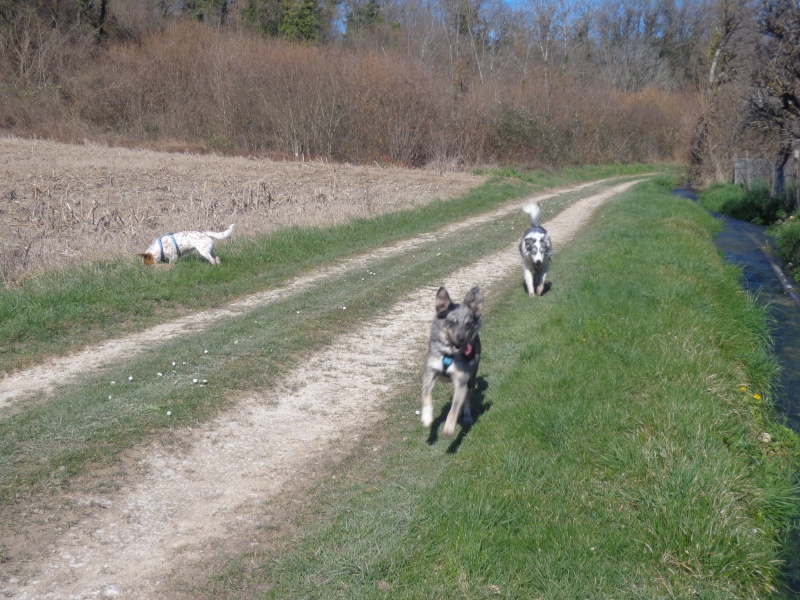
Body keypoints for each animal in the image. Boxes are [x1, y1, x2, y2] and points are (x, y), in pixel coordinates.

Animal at [422, 286, 484, 436]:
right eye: (452, 322)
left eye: (468, 324)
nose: (461, 339)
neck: (449, 353)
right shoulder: (429, 372)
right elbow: (426, 394)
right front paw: (427, 417)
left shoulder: (461, 380)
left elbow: (455, 407)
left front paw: (449, 427)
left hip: (471, 378)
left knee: (467, 399)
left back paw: (467, 416)